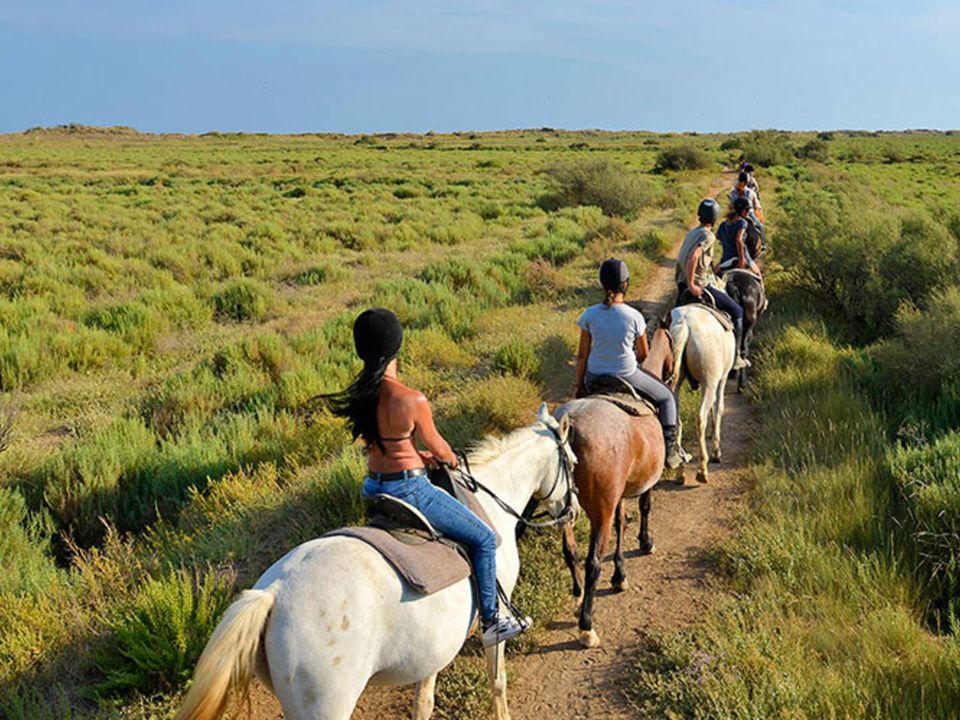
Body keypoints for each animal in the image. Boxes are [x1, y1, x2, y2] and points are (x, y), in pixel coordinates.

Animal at [175, 404, 572, 720]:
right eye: (572, 461)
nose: (571, 512)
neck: (490, 500)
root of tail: (272, 593)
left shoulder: (435, 644)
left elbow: (424, 701)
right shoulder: (496, 618)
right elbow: (498, 681)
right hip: (327, 707)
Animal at [556, 324, 676, 648]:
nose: (674, 376)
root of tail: (571, 426)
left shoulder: (619, 494)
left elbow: (623, 521)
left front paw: (620, 574)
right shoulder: (643, 483)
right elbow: (644, 508)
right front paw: (645, 543)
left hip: (562, 508)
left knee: (570, 550)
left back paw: (577, 597)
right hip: (600, 512)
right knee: (593, 561)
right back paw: (587, 626)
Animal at [668, 304, 736, 484]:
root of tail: (684, 324)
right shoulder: (722, 380)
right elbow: (718, 409)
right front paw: (716, 452)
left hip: (674, 386)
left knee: (677, 421)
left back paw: (680, 472)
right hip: (709, 383)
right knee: (700, 418)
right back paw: (702, 470)